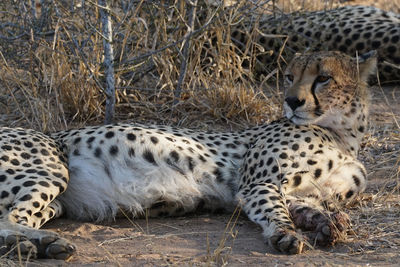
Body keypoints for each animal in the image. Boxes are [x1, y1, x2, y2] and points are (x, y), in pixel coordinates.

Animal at [0, 50, 376, 262]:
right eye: (288, 76)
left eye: (323, 78)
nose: (292, 101)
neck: (342, 134)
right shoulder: (257, 184)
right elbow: (276, 210)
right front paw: (285, 235)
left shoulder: (296, 192)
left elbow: (308, 206)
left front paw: (328, 224)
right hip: (50, 169)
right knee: (7, 219)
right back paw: (34, 245)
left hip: (56, 202)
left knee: (16, 218)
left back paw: (38, 246)